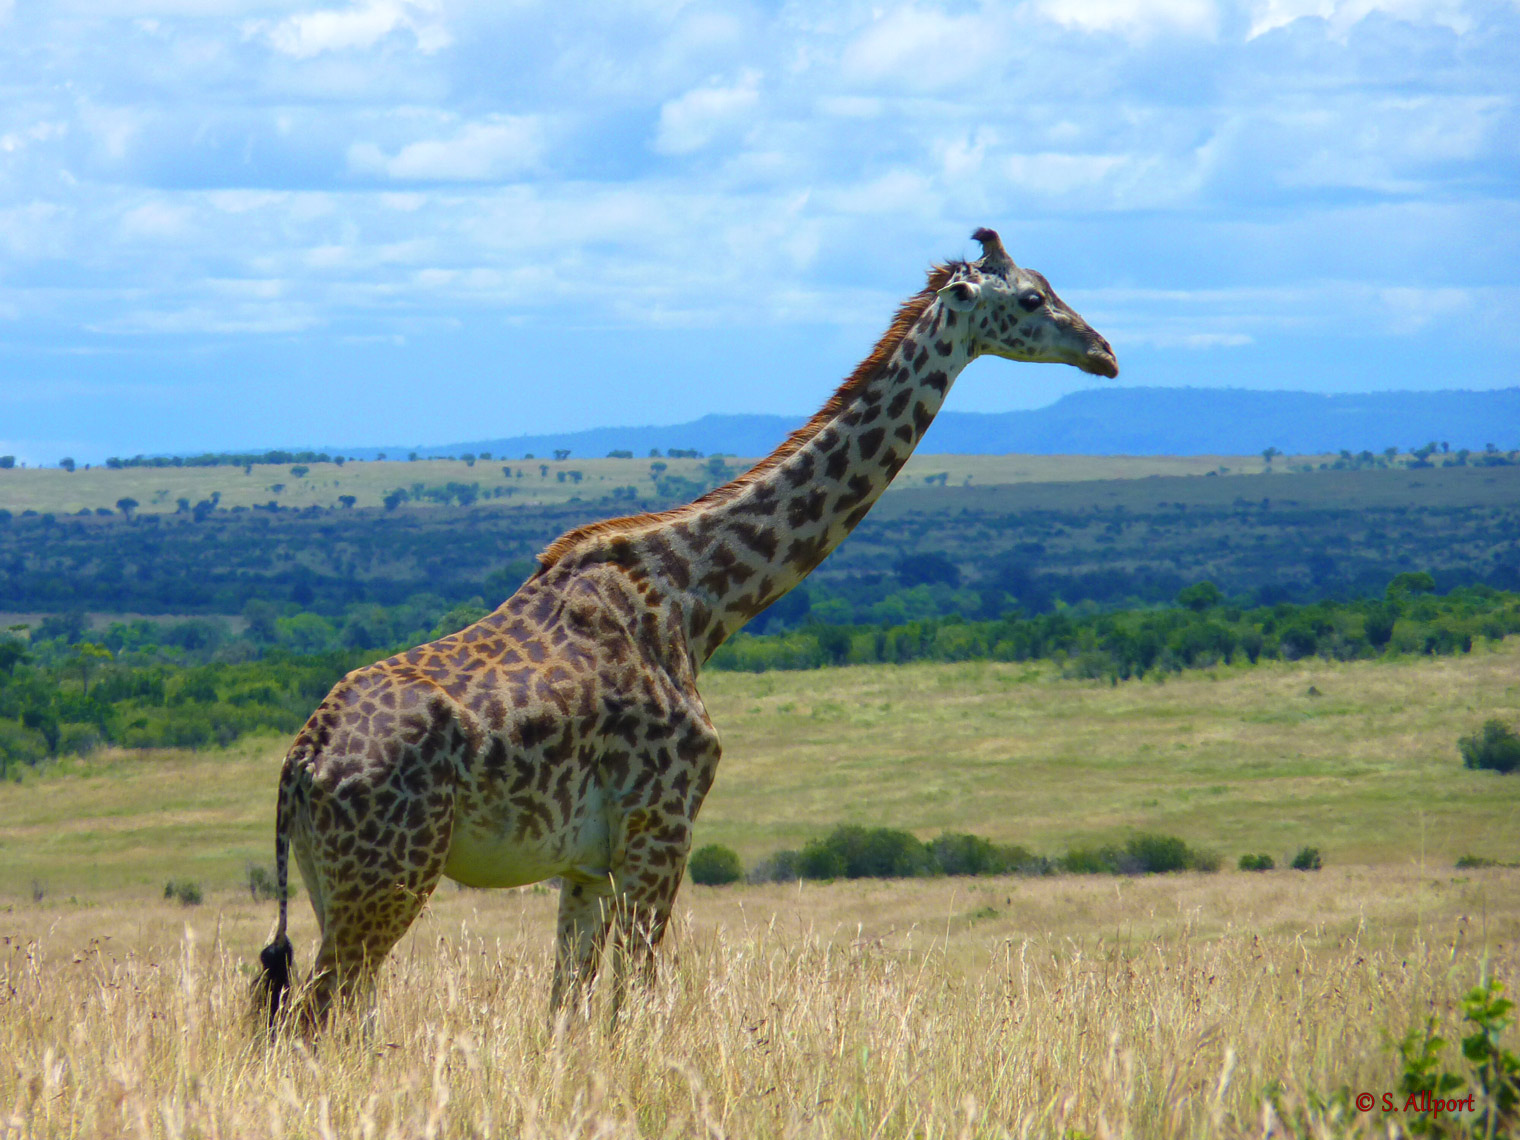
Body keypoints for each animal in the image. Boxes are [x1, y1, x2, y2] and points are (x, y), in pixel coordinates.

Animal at [253, 227, 1118, 1032]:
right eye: (1033, 298)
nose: (1104, 353)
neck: (698, 601)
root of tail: (300, 765)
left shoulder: (587, 864)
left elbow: (567, 1011)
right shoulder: (661, 828)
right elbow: (632, 1003)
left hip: (337, 884)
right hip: (388, 879)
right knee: (312, 1017)